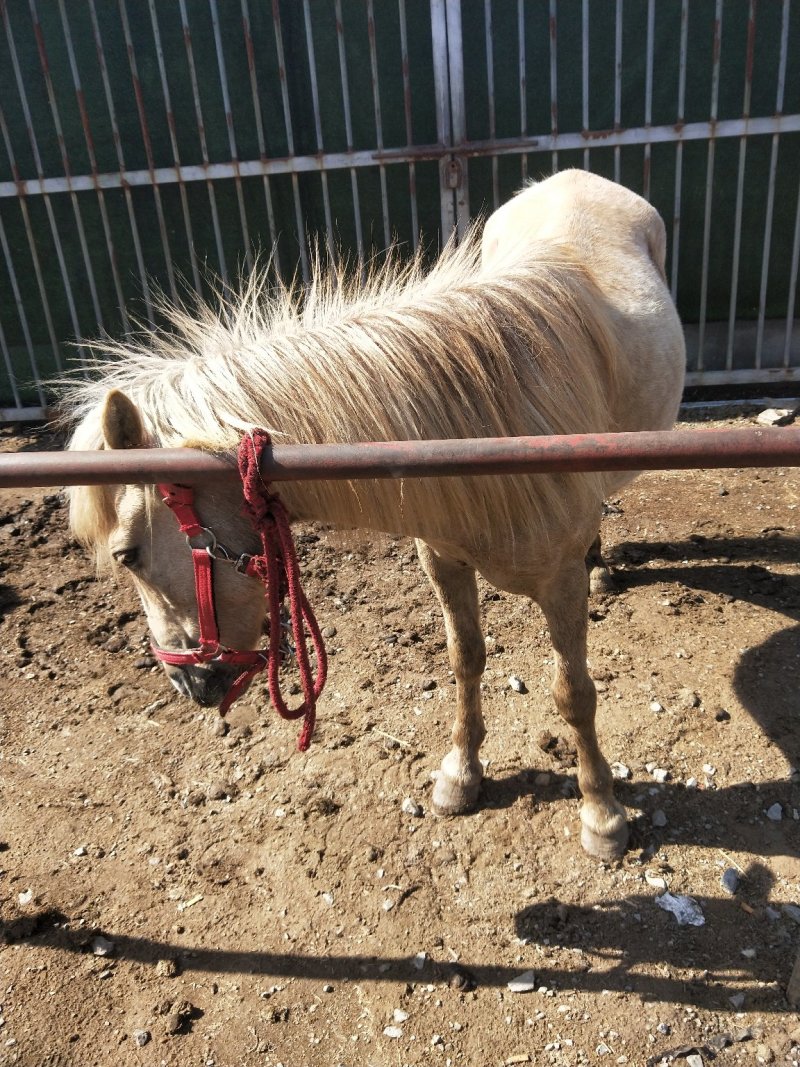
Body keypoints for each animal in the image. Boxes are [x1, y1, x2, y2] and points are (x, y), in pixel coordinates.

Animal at [65, 169, 685, 861]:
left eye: (127, 555)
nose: (190, 687)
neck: (487, 428)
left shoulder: (560, 587)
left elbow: (573, 694)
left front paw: (601, 813)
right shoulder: (444, 561)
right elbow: (465, 661)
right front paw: (460, 775)